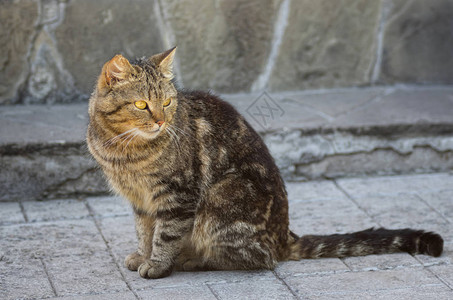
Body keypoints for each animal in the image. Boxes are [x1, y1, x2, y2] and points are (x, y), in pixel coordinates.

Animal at [86, 47, 444, 278]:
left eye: (168, 102)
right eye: (141, 105)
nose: (161, 121)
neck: (123, 149)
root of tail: (284, 235)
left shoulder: (177, 194)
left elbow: (165, 233)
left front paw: (158, 263)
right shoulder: (140, 200)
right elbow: (145, 231)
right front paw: (144, 254)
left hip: (221, 199)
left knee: (258, 258)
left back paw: (193, 260)